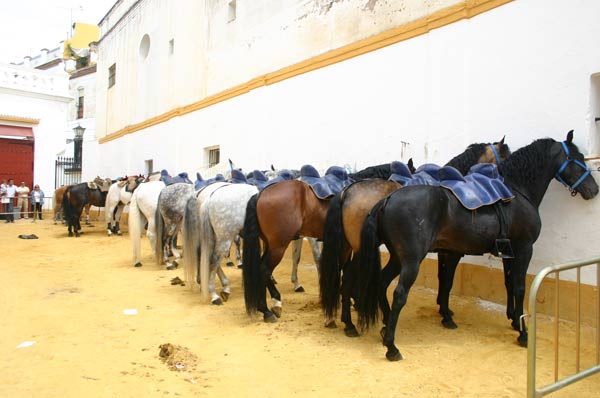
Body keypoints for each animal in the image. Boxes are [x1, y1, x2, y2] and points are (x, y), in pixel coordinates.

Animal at [318, 140, 510, 336]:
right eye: (505, 155)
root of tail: (347, 192)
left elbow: (442, 277)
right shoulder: (451, 252)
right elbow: (446, 280)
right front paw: (445, 312)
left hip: (347, 245)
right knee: (348, 276)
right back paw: (350, 323)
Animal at [356, 131, 596, 360]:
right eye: (577, 158)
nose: (594, 189)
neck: (517, 191)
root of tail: (387, 199)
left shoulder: (504, 251)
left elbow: (506, 283)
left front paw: (512, 319)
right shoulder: (523, 248)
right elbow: (519, 287)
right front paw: (523, 333)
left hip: (398, 257)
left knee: (382, 282)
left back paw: (385, 325)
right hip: (411, 260)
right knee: (399, 294)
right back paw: (391, 346)